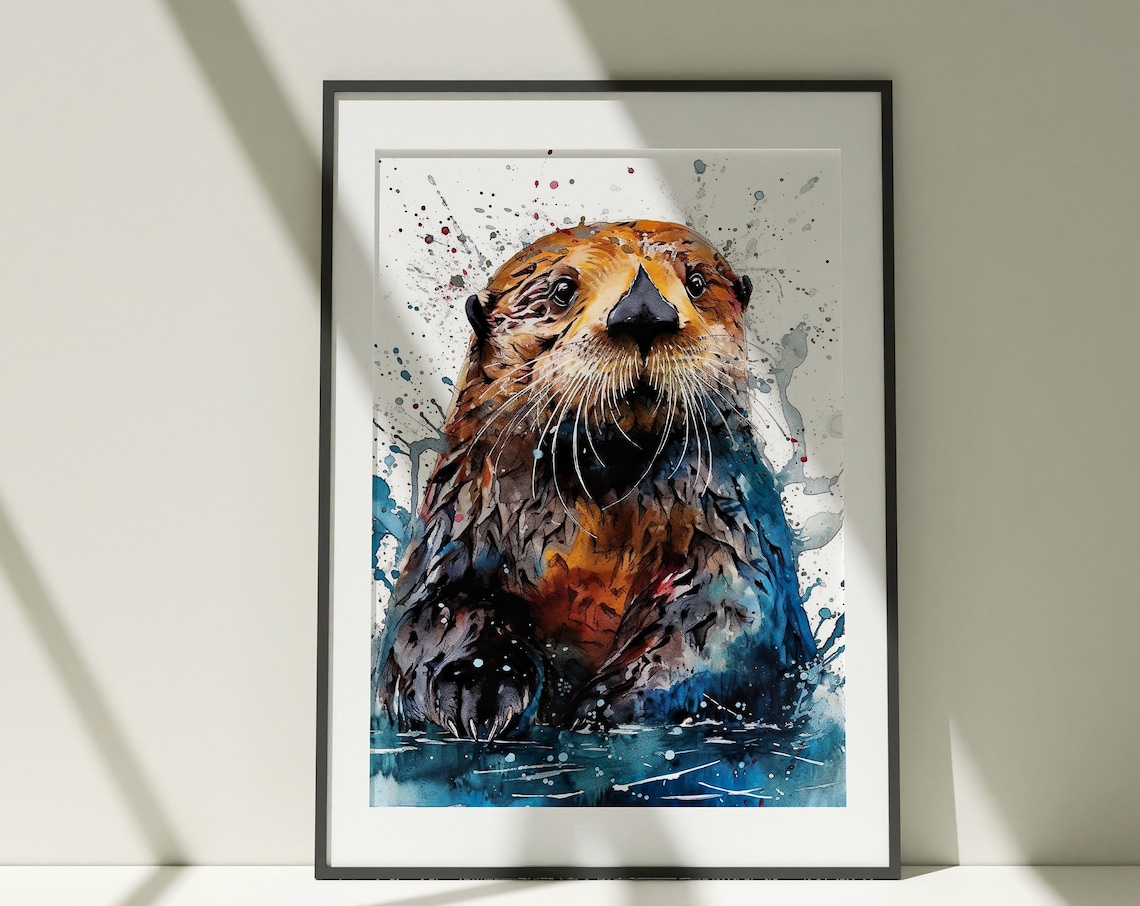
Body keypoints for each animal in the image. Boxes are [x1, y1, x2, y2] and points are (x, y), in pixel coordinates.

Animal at [375, 220, 818, 740]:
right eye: (562, 291)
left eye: (696, 283)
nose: (644, 311)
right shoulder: (462, 519)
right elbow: (433, 614)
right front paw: (475, 688)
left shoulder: (732, 525)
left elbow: (728, 616)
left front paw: (604, 707)